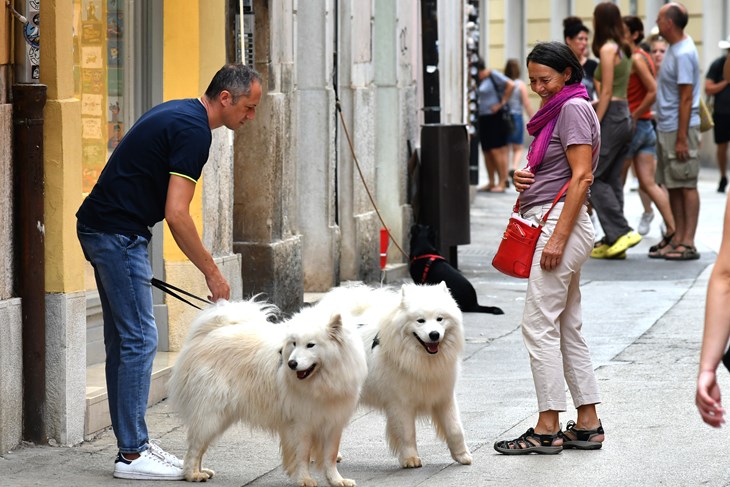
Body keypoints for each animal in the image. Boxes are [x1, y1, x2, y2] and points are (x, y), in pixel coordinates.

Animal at [168, 300, 366, 486]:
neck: (322, 382)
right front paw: (304, 479)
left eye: (311, 345)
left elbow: (330, 457)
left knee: (200, 447)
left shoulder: (333, 423)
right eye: (294, 343)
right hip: (212, 414)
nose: (291, 363)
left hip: (218, 417)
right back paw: (192, 475)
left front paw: (337, 481)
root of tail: (207, 334)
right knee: (194, 448)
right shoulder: (301, 424)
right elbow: (302, 455)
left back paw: (201, 471)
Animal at [318, 284, 472, 470]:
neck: (421, 361)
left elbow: (455, 429)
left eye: (440, 319)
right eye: (420, 320)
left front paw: (463, 456)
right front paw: (410, 459)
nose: (434, 334)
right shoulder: (400, 403)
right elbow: (407, 433)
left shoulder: (444, 397)